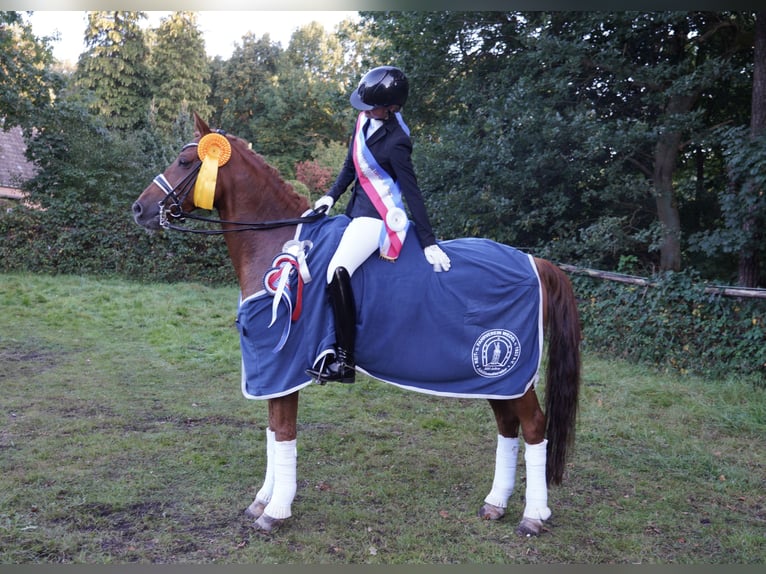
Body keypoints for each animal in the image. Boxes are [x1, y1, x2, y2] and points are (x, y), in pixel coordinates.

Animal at [132, 113, 581, 537]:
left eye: (185, 161)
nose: (139, 209)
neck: (279, 241)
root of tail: (535, 262)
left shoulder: (283, 367)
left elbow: (284, 433)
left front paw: (276, 512)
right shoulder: (269, 370)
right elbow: (273, 433)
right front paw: (261, 501)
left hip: (507, 370)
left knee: (534, 427)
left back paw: (533, 516)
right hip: (495, 379)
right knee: (508, 427)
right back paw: (496, 505)